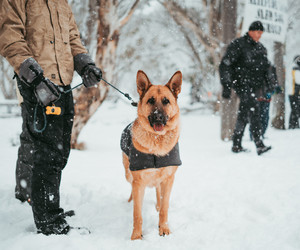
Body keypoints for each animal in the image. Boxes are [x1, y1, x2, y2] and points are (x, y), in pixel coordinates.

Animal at [120, 70, 182, 240]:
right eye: (150, 101)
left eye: (166, 101)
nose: (158, 116)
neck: (156, 141)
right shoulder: (138, 181)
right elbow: (137, 214)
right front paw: (136, 237)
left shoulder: (169, 179)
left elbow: (165, 208)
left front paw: (164, 228)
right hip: (128, 174)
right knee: (132, 189)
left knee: (158, 192)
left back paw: (157, 205)